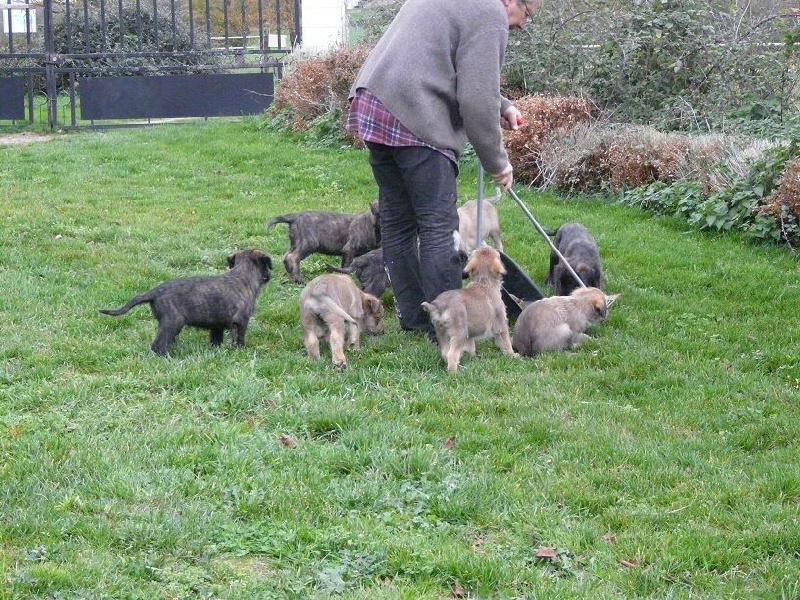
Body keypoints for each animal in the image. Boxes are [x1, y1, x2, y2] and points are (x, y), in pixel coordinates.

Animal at [98, 248, 274, 356]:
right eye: (267, 266)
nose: (270, 276)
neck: (242, 275)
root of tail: (154, 292)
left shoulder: (217, 325)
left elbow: (216, 340)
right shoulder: (241, 321)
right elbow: (240, 339)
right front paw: (241, 351)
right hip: (173, 322)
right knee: (158, 345)